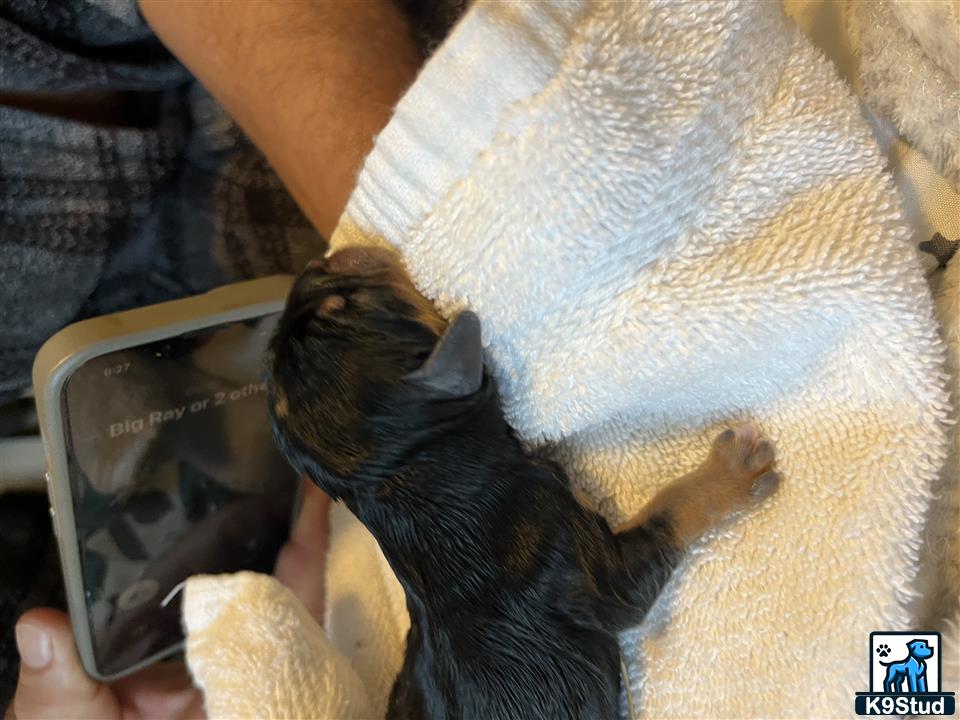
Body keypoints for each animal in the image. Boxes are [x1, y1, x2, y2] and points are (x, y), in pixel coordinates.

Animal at [264, 245, 780, 716]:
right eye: (349, 301)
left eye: (329, 298)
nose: (320, 258)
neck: (406, 479)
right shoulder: (597, 569)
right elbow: (669, 513)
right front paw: (733, 468)